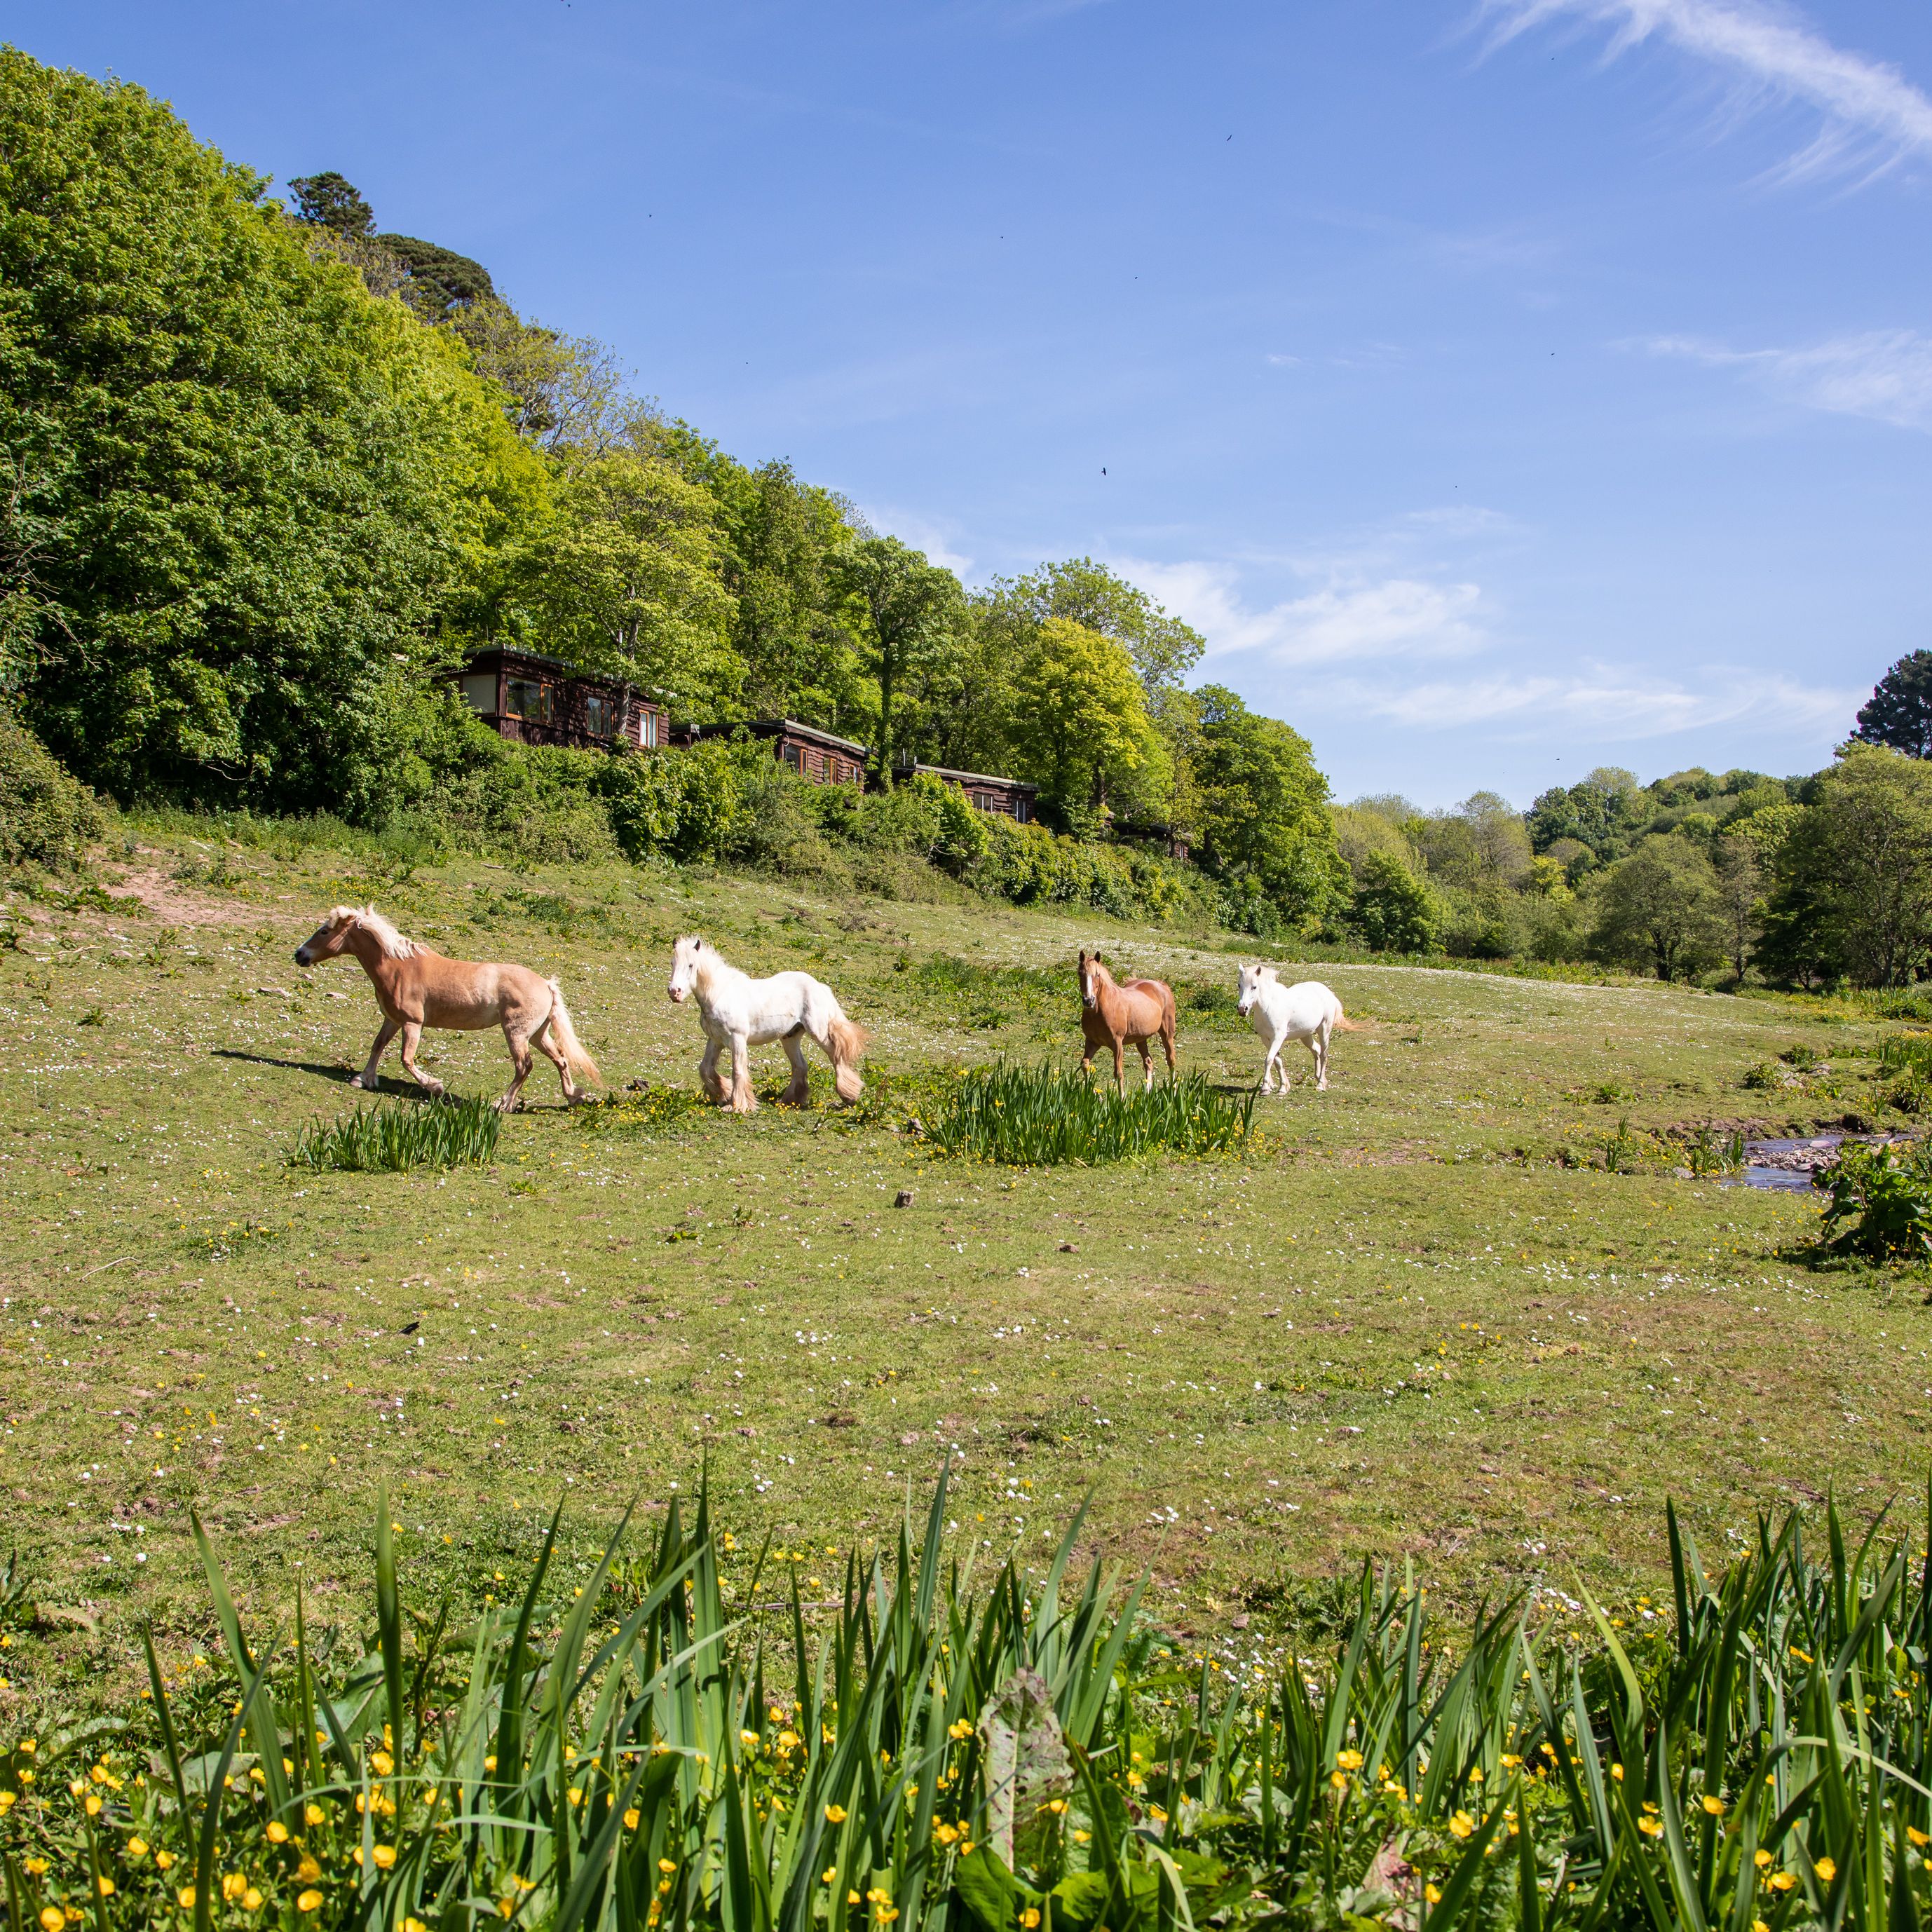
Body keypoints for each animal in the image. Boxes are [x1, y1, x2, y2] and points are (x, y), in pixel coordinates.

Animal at [294, 906, 601, 1111]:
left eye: (324, 931)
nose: (299, 955)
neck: (399, 968)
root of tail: (547, 985)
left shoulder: (412, 1023)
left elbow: (407, 1059)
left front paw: (435, 1086)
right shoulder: (393, 1019)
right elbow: (378, 1045)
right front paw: (364, 1079)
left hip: (516, 1034)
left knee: (524, 1066)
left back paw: (503, 1104)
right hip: (537, 1035)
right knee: (560, 1059)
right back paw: (573, 1096)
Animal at [666, 934, 867, 1114]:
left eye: (691, 965)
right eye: (672, 963)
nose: (674, 992)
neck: (720, 995)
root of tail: (819, 986)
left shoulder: (737, 1039)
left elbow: (738, 1071)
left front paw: (736, 1106)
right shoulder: (715, 1040)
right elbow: (705, 1069)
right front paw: (723, 1095)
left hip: (819, 1033)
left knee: (836, 1056)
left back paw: (849, 1096)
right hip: (790, 1037)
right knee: (800, 1066)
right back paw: (790, 1101)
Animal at [1078, 950, 1177, 1097]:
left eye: (1097, 974)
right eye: (1080, 973)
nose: (1088, 1000)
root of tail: (1162, 986)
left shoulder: (1117, 1043)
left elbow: (1118, 1072)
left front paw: (1122, 1098)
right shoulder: (1092, 1042)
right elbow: (1085, 1064)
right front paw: (1094, 1094)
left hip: (1167, 1034)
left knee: (1171, 1060)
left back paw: (1174, 1091)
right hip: (1141, 1039)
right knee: (1148, 1061)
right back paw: (1147, 1091)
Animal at [1234, 964, 1359, 1093]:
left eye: (1254, 987)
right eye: (1239, 985)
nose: (1242, 1009)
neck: (1269, 1007)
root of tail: (1329, 993)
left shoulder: (1278, 1038)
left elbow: (1269, 1059)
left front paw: (1265, 1088)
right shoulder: (1266, 1039)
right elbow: (1277, 1061)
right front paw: (1283, 1087)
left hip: (1324, 1030)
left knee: (1324, 1055)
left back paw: (1320, 1084)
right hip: (1306, 1036)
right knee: (1317, 1050)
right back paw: (1319, 1078)